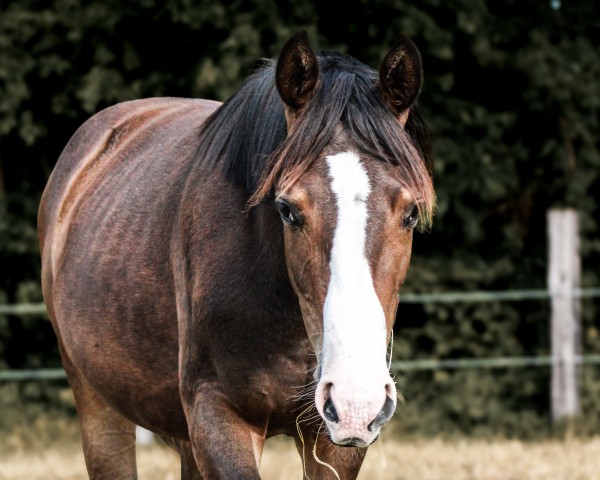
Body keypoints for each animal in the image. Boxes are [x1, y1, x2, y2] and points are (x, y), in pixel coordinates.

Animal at [39, 31, 436, 478]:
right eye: (287, 210)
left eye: (411, 212)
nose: (356, 399)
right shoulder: (219, 413)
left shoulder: (333, 444)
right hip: (99, 408)